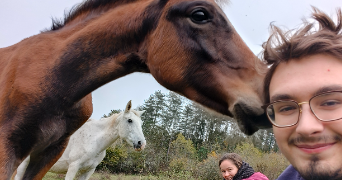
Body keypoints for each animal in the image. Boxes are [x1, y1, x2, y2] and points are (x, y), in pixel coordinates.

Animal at [14, 100, 146, 179]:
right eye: (130, 120)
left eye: (141, 123)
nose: (141, 143)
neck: (93, 141)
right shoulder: (73, 168)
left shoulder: (88, 171)